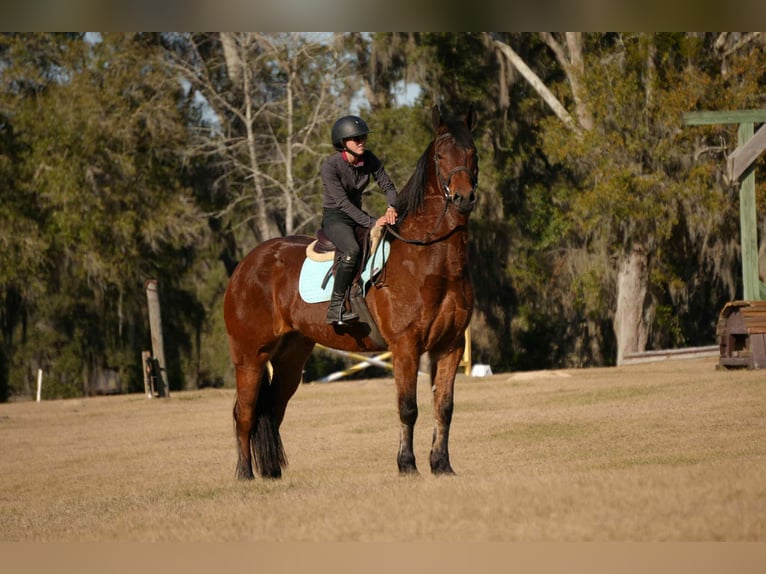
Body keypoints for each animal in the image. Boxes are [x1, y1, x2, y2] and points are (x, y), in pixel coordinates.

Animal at [223, 105, 479, 479]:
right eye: (442, 155)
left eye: (472, 153)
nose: (463, 198)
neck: (431, 259)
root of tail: (245, 266)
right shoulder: (405, 347)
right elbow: (408, 408)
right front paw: (407, 465)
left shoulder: (450, 346)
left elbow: (443, 407)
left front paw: (441, 465)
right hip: (250, 358)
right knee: (244, 413)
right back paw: (244, 474)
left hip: (289, 359)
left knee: (272, 409)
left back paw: (271, 474)